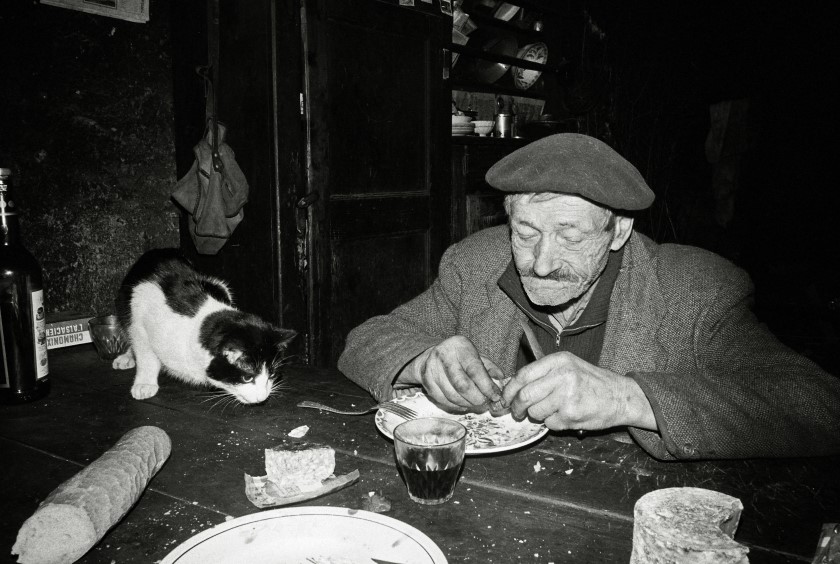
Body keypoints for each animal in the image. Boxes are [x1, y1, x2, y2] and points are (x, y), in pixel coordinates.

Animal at [111, 249, 296, 404]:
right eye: (247, 378)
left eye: (272, 374)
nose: (262, 398)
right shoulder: (140, 311)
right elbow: (145, 355)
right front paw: (144, 383)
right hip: (125, 304)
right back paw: (126, 357)